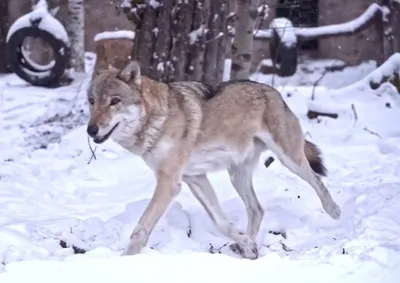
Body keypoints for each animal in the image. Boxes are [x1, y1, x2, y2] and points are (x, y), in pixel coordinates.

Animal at [86, 61, 340, 260]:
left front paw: (125, 260)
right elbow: (220, 222)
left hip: (289, 159)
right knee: (257, 209)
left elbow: (140, 229)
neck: (157, 119)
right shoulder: (195, 178)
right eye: (92, 101)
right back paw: (245, 247)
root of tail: (274, 92)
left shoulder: (169, 183)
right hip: (236, 175)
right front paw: (247, 244)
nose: (90, 130)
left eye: (114, 101)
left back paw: (335, 211)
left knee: (316, 180)